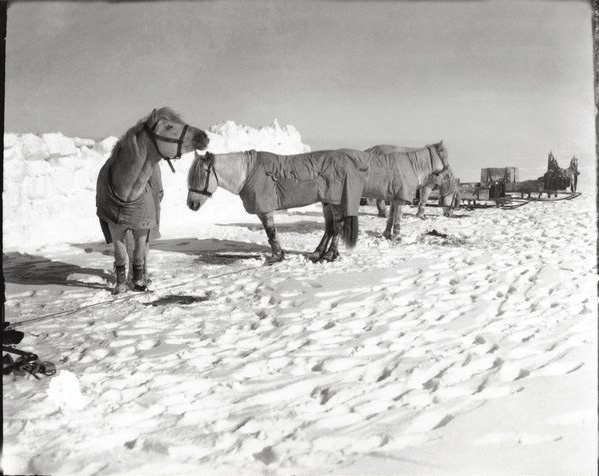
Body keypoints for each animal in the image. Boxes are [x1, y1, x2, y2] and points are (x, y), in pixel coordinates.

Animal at [97, 109, 210, 294]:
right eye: (169, 126)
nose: (204, 136)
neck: (128, 193)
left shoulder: (144, 226)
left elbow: (139, 253)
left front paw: (139, 283)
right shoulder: (115, 226)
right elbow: (122, 254)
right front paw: (121, 286)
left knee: (143, 251)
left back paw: (142, 276)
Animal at [188, 150, 372, 264]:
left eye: (201, 175)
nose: (191, 204)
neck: (247, 174)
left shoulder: (265, 210)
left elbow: (271, 233)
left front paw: (276, 257)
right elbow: (271, 233)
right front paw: (279, 255)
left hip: (335, 202)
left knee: (337, 226)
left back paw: (329, 254)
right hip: (326, 201)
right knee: (330, 227)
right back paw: (317, 253)